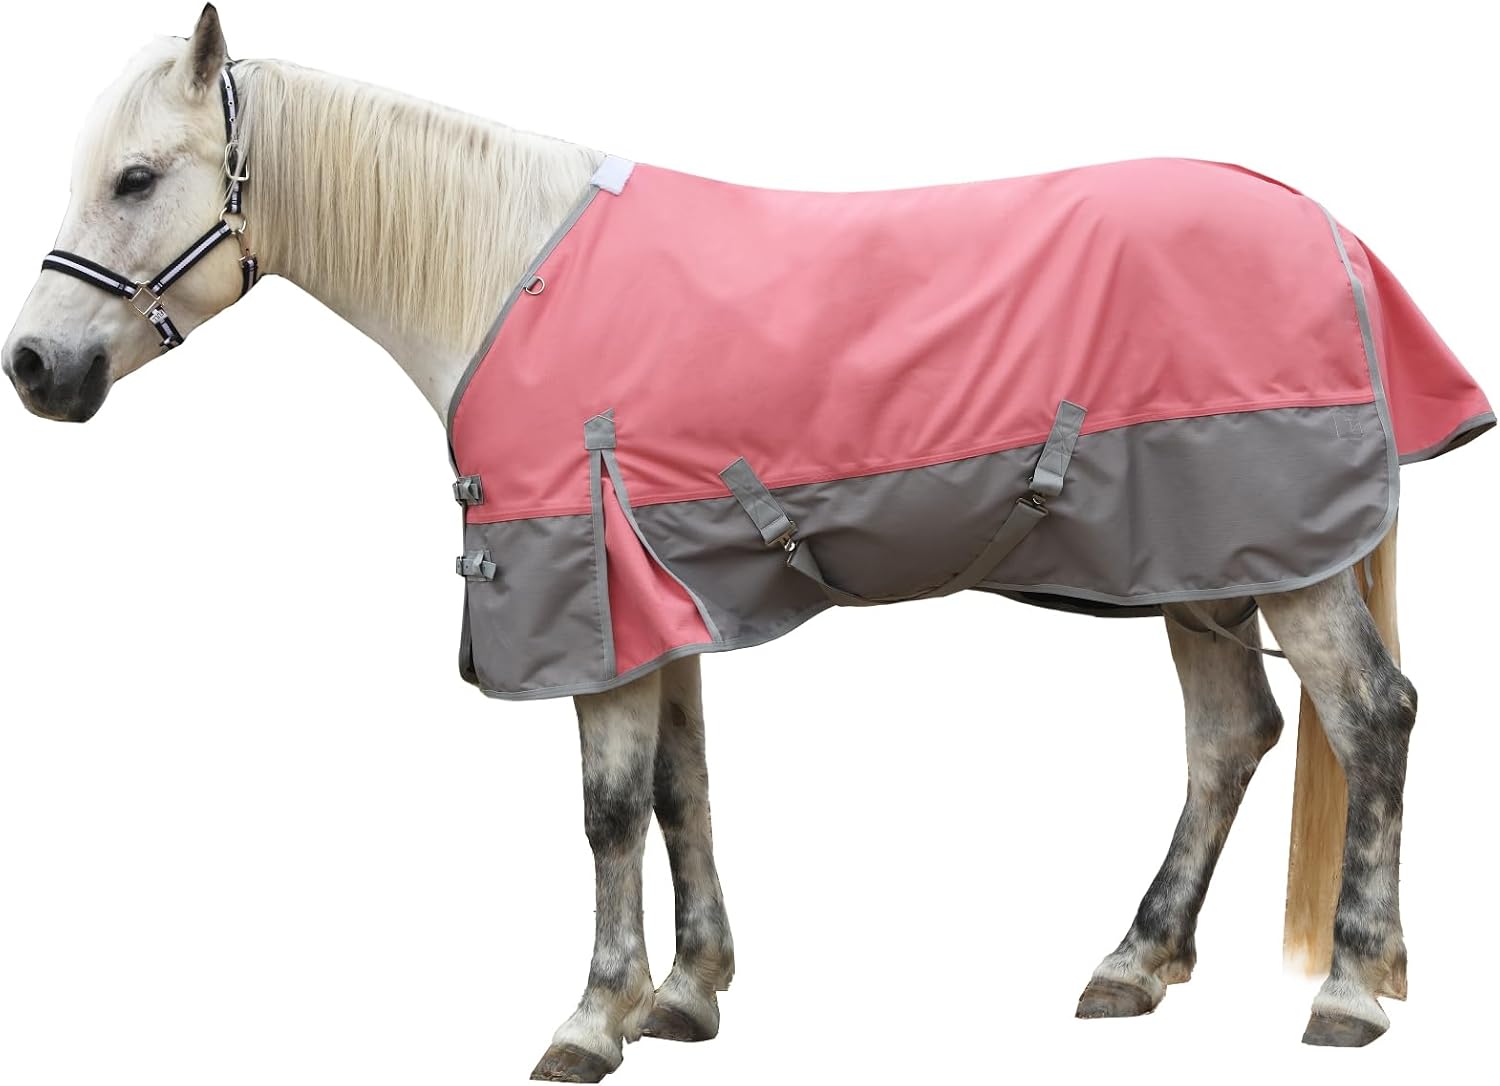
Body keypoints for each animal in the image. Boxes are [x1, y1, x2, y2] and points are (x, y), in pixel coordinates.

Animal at [3, 7, 1492, 1081]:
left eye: (136, 177)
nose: (36, 370)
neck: (505, 275)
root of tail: (1329, 233)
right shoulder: (660, 600)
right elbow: (681, 790)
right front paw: (688, 993)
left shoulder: (591, 598)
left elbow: (607, 809)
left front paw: (590, 1018)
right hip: (1204, 564)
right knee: (1233, 736)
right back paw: (1134, 962)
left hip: (1283, 558)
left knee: (1372, 716)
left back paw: (1351, 988)